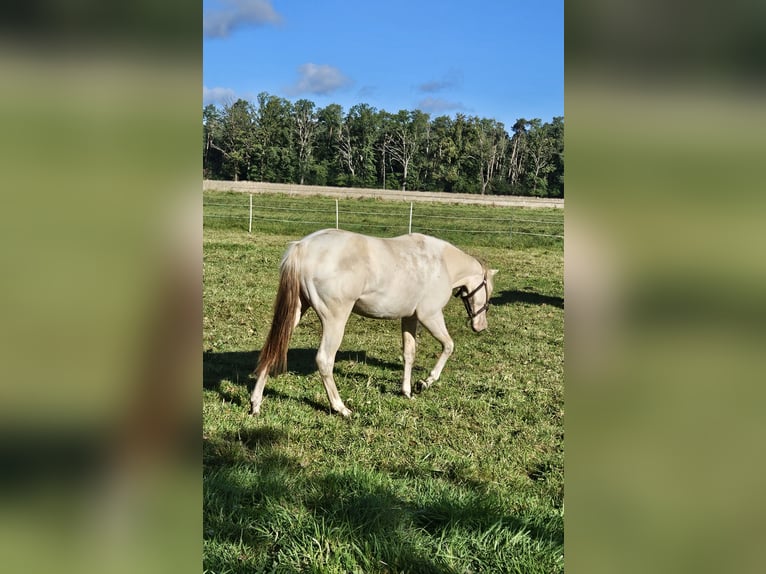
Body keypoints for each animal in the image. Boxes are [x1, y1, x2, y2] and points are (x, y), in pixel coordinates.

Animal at [250, 230, 498, 418]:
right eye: (489, 291)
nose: (481, 326)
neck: (442, 263)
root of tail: (303, 247)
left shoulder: (410, 318)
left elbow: (409, 354)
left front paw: (407, 390)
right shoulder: (430, 316)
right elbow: (448, 346)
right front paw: (425, 382)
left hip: (296, 312)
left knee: (273, 349)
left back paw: (255, 403)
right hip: (335, 320)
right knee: (324, 360)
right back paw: (341, 408)